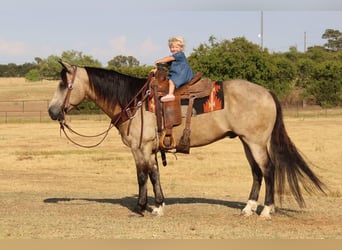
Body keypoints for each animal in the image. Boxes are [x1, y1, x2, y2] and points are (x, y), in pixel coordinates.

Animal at [48, 61, 326, 219]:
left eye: (64, 85)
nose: (52, 111)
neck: (133, 101)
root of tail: (266, 91)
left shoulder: (140, 149)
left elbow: (142, 176)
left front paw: (140, 208)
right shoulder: (150, 149)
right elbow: (155, 175)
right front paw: (158, 206)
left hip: (256, 142)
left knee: (268, 170)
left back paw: (266, 210)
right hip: (246, 142)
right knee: (257, 172)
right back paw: (248, 208)